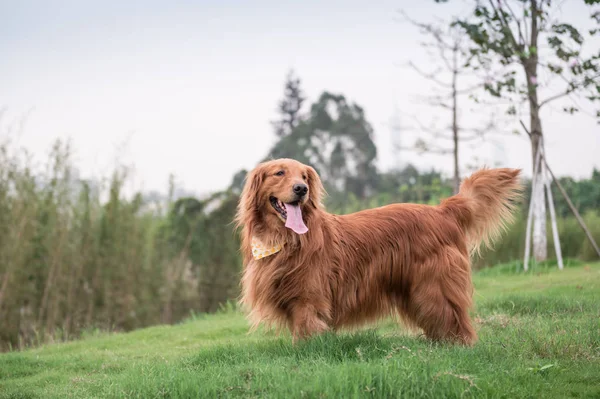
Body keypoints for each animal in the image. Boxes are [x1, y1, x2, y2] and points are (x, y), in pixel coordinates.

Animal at [234, 158, 520, 346]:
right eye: (279, 173)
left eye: (304, 177)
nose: (301, 189)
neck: (284, 239)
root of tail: (442, 210)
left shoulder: (308, 300)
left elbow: (306, 335)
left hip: (432, 286)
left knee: (456, 321)